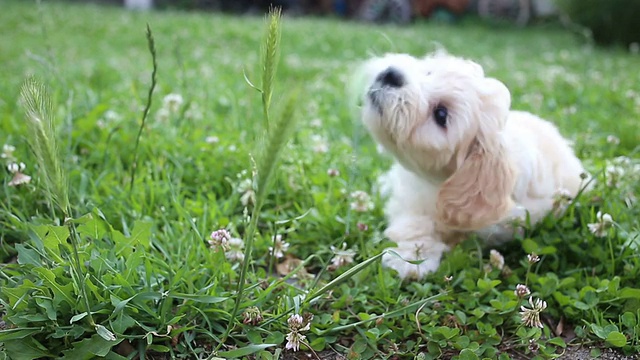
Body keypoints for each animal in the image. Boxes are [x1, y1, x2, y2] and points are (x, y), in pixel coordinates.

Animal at [358, 52, 588, 278]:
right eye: (430, 72)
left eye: (441, 115)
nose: (392, 75)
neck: (436, 183)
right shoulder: (411, 193)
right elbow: (414, 219)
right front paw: (411, 254)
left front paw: (412, 258)